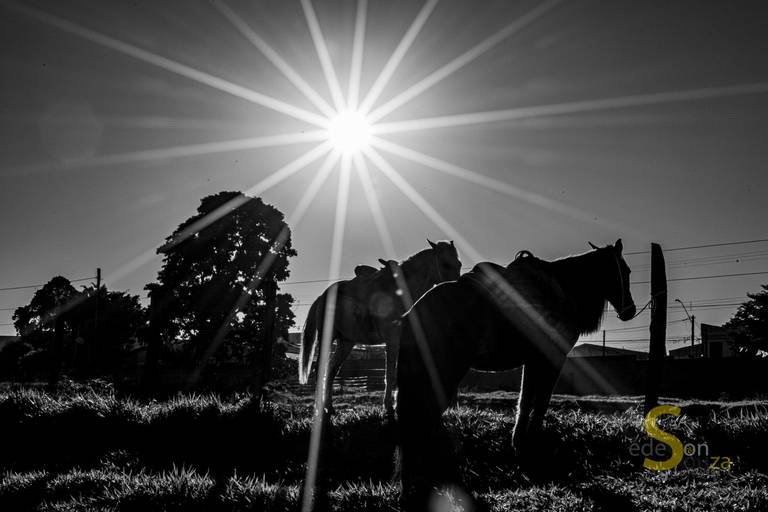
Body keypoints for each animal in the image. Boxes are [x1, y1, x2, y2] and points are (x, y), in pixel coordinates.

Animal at [299, 240, 462, 415]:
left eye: (459, 264)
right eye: (445, 264)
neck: (399, 293)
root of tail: (322, 297)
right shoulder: (392, 339)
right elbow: (389, 373)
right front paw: (389, 406)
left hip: (346, 343)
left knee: (331, 371)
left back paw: (329, 407)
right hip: (327, 338)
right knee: (319, 370)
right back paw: (319, 409)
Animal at [396, 239, 636, 509]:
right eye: (625, 270)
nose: (630, 310)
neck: (561, 292)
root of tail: (413, 312)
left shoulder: (533, 360)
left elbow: (525, 400)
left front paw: (519, 445)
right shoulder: (551, 357)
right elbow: (539, 402)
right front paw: (532, 445)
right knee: (421, 418)